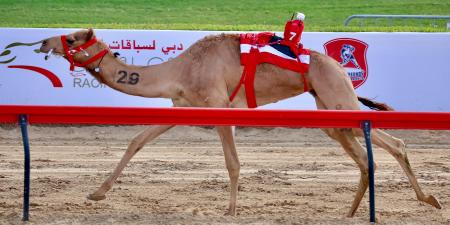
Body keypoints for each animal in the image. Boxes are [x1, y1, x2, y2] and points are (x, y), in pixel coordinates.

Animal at [38, 28, 440, 218]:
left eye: (71, 38)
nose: (43, 42)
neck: (180, 70)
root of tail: (339, 66)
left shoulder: (219, 106)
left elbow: (233, 163)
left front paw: (230, 210)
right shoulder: (182, 106)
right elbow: (136, 140)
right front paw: (97, 192)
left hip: (338, 100)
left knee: (393, 144)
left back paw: (427, 199)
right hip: (329, 111)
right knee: (363, 156)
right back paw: (351, 212)